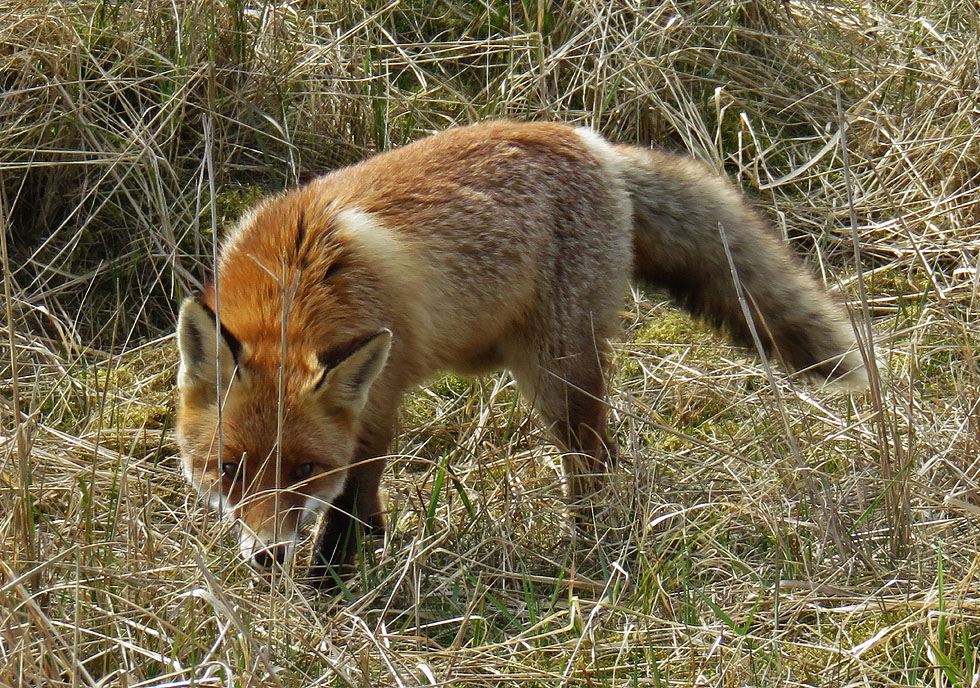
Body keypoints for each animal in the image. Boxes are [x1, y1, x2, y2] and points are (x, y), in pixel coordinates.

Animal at [174, 118, 864, 580]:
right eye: (228, 469)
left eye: (304, 471)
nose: (268, 557)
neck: (290, 290)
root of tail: (592, 143)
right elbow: (356, 503)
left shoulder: (379, 398)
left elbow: (351, 504)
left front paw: (334, 581)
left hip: (556, 374)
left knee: (598, 459)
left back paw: (589, 553)